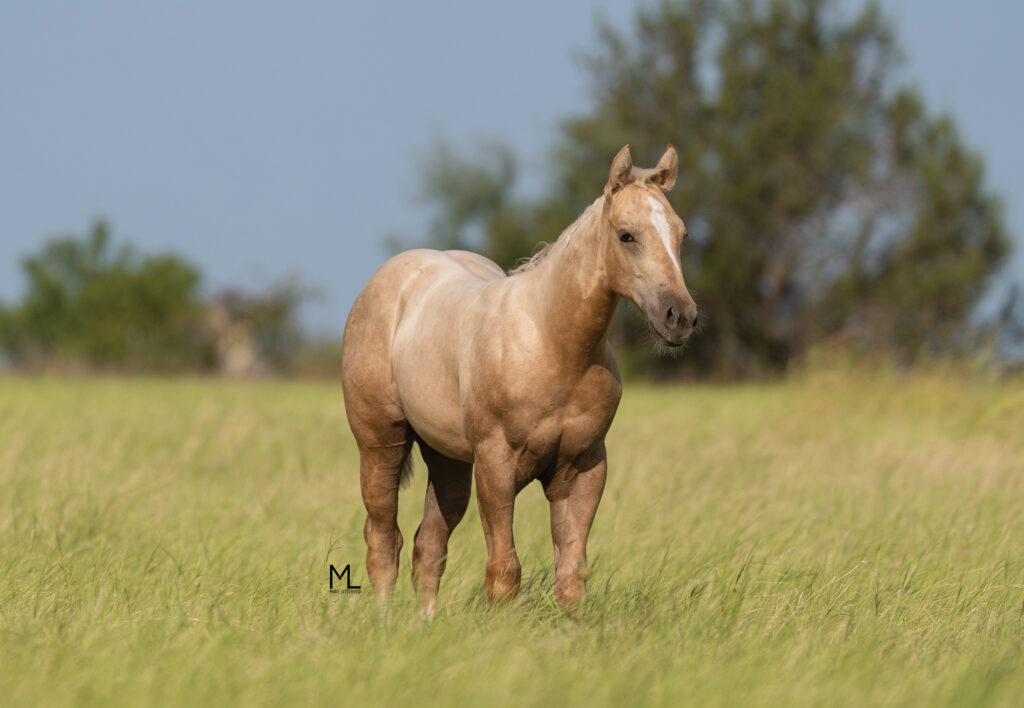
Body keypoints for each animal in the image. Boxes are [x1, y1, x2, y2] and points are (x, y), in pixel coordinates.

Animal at [341, 144, 696, 615]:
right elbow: (503, 572)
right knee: (383, 540)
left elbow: (572, 577)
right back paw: (384, 621)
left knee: (428, 545)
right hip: (380, 442)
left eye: (681, 235)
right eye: (627, 235)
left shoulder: (584, 469)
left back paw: (424, 624)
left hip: (449, 458)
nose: (680, 316)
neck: (552, 346)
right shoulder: (497, 464)